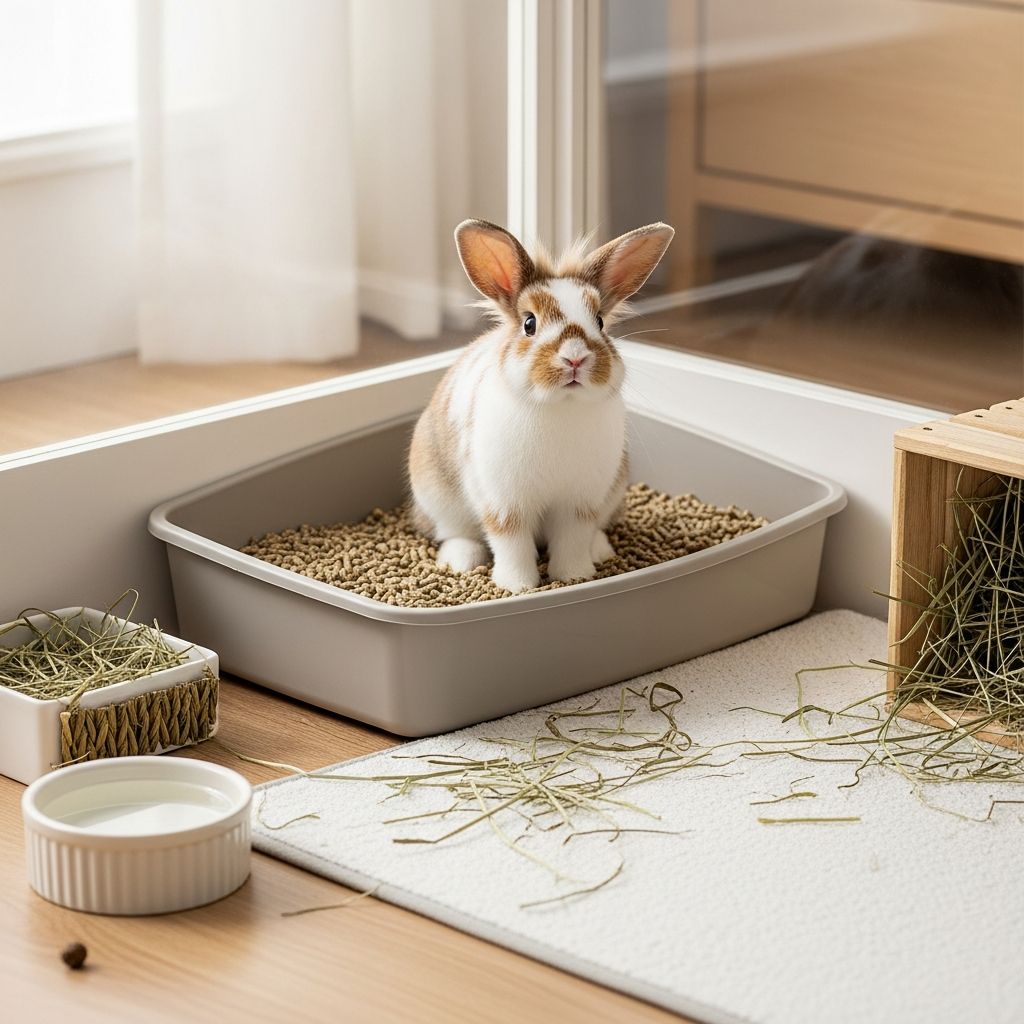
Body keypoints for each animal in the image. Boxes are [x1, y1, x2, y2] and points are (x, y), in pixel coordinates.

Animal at [408, 219, 674, 593]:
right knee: (454, 533)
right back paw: (460, 561)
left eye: (600, 322)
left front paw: (576, 577)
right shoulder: (505, 504)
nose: (575, 358)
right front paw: (517, 586)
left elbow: (573, 539)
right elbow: (512, 543)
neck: (561, 407)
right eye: (529, 323)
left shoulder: (580, 503)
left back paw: (601, 551)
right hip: (437, 498)